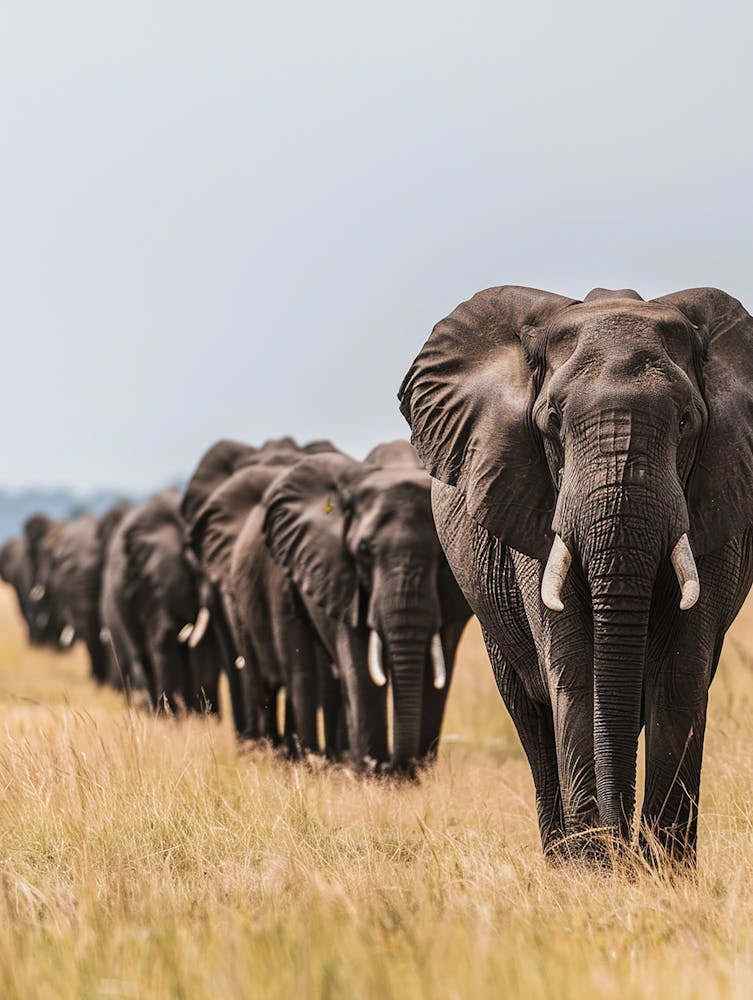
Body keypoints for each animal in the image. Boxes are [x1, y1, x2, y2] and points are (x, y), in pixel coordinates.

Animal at [99, 490, 222, 711]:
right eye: (199, 568)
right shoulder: (153, 581)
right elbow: (166, 637)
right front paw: (174, 715)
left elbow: (205, 645)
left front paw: (202, 716)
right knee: (144, 655)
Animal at [243, 441, 471, 774]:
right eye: (363, 550)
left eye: (442, 555)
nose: (391, 765)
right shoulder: (340, 575)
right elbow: (360, 664)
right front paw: (374, 774)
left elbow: (439, 664)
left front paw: (413, 774)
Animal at [399, 284, 753, 864]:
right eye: (550, 422)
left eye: (685, 421)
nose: (620, 843)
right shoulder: (530, 498)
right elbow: (573, 665)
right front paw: (596, 869)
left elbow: (681, 672)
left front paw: (663, 871)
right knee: (530, 714)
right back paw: (562, 857)